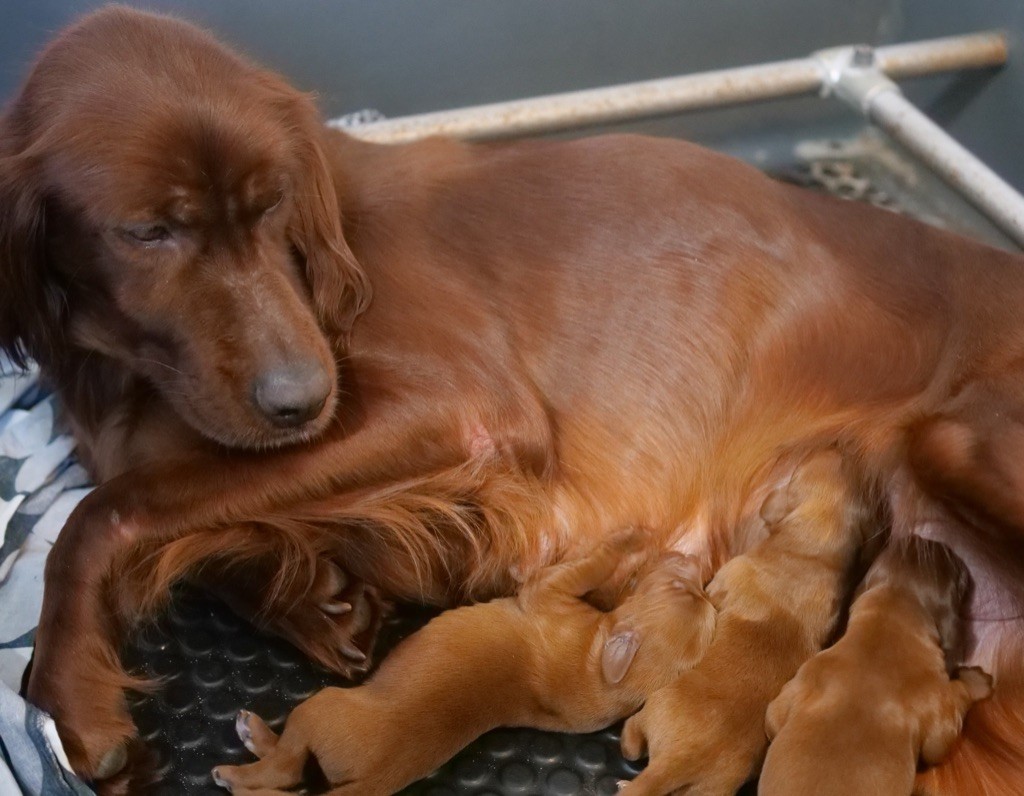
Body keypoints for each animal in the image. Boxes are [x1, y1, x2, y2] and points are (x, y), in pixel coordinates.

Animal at [761, 532, 991, 794]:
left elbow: (773, 717)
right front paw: (978, 680)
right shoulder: (939, 717)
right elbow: (957, 699)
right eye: (957, 571)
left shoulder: (802, 680)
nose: (921, 537)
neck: (886, 625)